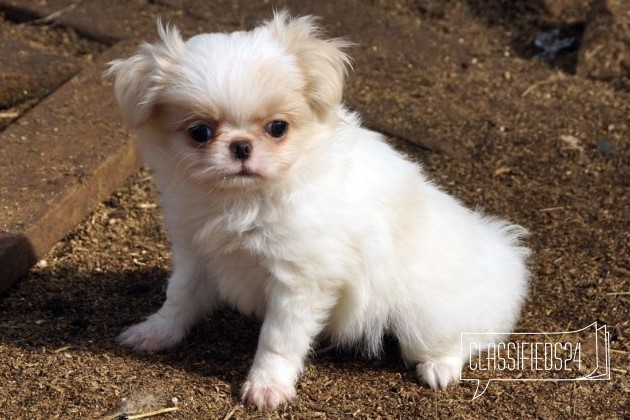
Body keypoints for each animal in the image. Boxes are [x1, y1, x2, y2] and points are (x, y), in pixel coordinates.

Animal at [108, 11, 532, 408]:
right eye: (200, 132)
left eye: (278, 128)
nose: (241, 146)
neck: (243, 200)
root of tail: (501, 248)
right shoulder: (196, 253)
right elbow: (178, 299)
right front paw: (154, 332)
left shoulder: (299, 280)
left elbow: (278, 339)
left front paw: (267, 387)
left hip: (426, 314)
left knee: (469, 336)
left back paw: (440, 367)